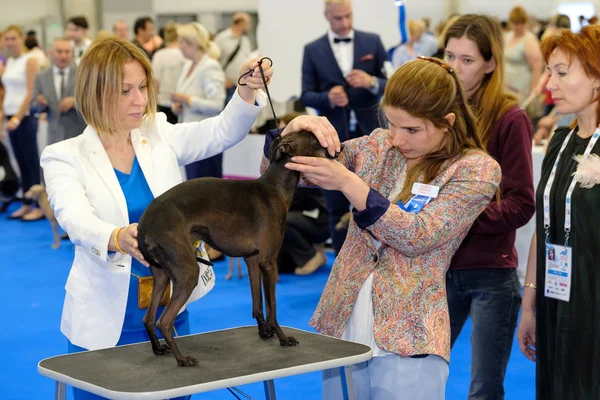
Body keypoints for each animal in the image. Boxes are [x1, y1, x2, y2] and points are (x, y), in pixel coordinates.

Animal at [137, 130, 342, 366]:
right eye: (317, 143)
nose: (340, 149)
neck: (273, 189)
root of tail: (144, 225)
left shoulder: (252, 259)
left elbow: (257, 304)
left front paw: (264, 332)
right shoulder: (269, 262)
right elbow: (272, 307)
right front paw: (282, 337)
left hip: (162, 275)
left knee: (148, 318)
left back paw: (158, 348)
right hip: (187, 273)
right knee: (164, 321)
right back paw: (183, 359)